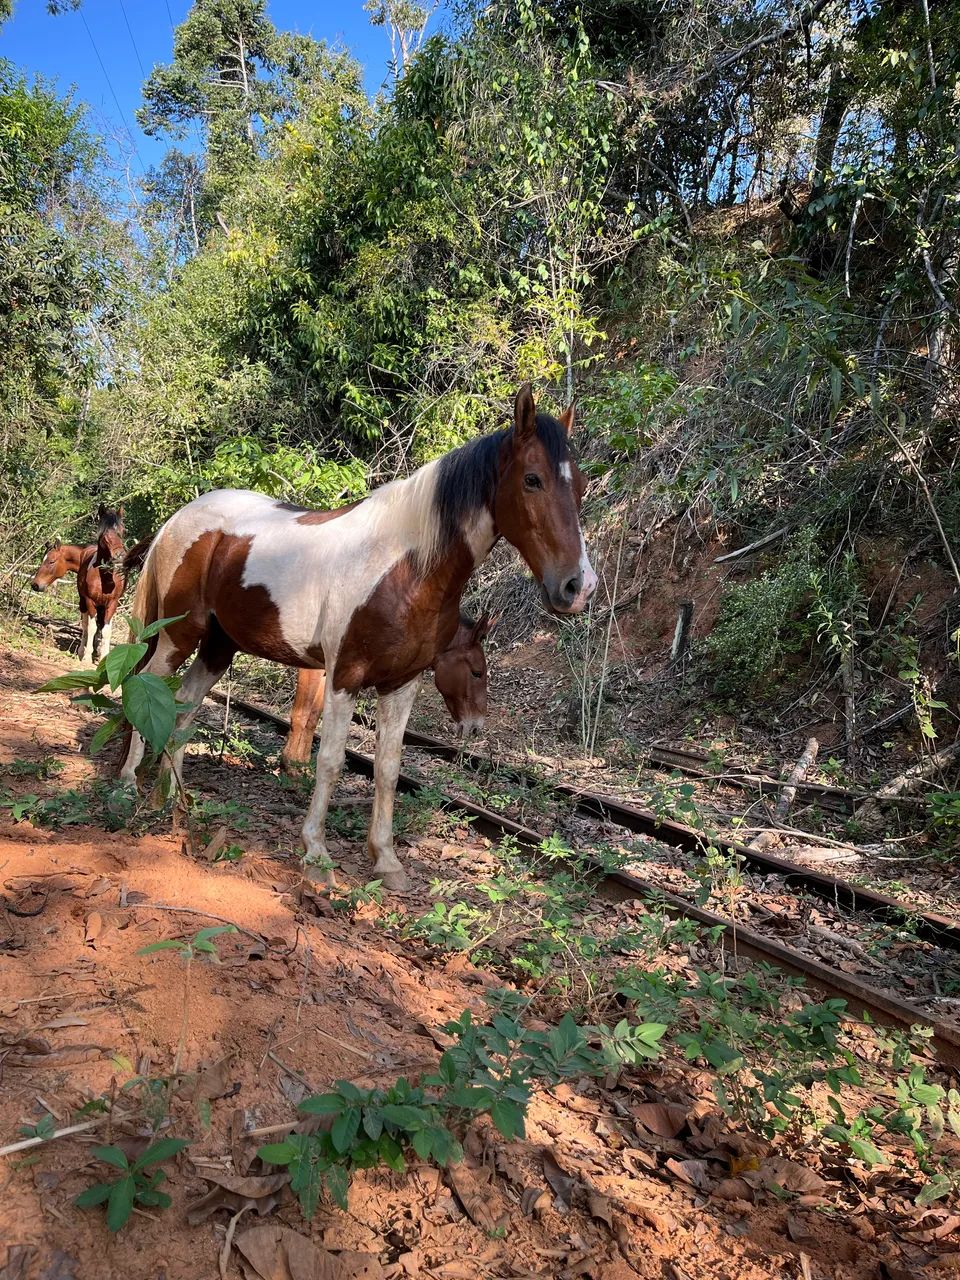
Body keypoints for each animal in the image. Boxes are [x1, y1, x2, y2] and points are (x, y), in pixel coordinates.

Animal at [31, 506, 126, 665]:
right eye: (104, 535)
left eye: (122, 531)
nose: (36, 585)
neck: (105, 578)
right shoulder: (89, 601)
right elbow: (90, 627)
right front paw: (87, 657)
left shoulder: (112, 604)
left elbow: (106, 631)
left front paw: (103, 658)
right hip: (83, 603)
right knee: (86, 626)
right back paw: (84, 651)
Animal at [280, 612, 493, 774]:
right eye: (477, 672)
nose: (476, 726)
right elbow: (301, 715)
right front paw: (290, 765)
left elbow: (312, 717)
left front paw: (300, 764)